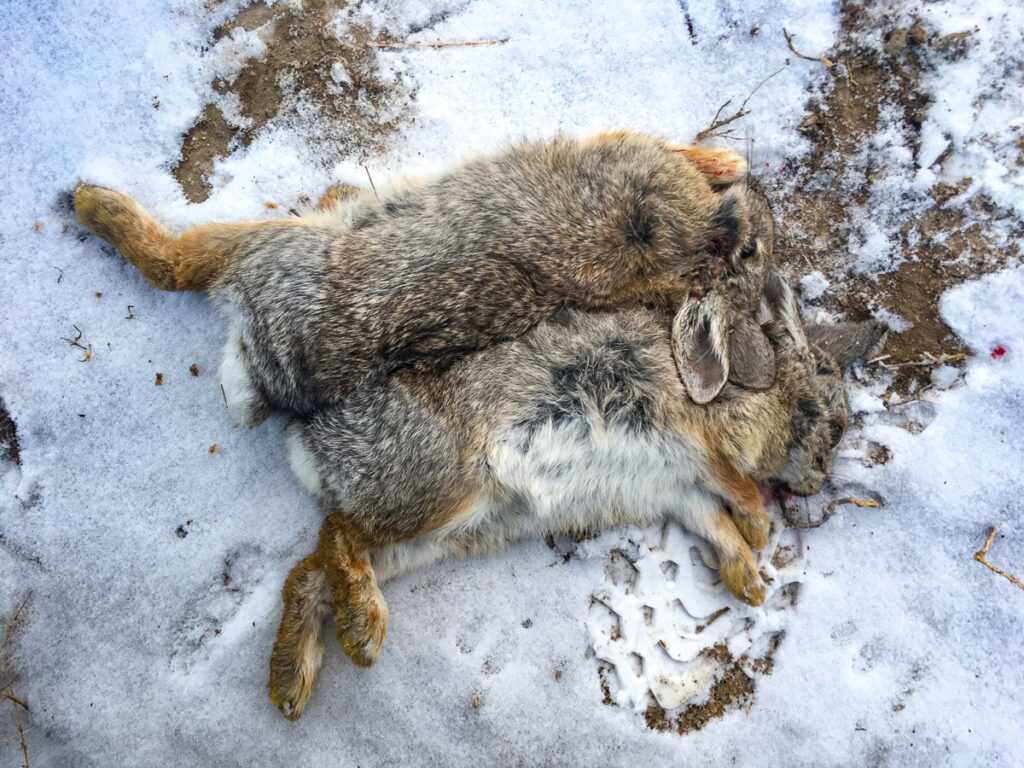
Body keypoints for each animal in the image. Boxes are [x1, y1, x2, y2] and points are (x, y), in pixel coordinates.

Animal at [267, 271, 886, 719]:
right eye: (833, 426)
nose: (815, 482)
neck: (766, 397)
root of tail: (310, 443)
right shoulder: (696, 438)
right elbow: (730, 485)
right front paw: (759, 530)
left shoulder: (678, 489)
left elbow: (714, 522)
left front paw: (748, 583)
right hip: (437, 490)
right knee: (338, 533)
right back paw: (363, 634)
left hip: (448, 532)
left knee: (309, 572)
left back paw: (291, 683)